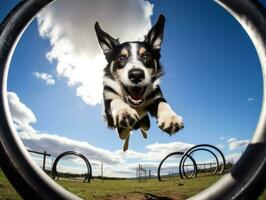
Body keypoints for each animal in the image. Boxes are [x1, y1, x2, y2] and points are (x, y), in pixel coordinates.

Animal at [94, 14, 184, 151]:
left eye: (146, 56)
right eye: (121, 58)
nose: (136, 75)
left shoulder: (156, 96)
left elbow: (163, 102)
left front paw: (171, 117)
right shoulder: (108, 105)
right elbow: (115, 101)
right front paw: (124, 111)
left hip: (146, 123)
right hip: (122, 131)